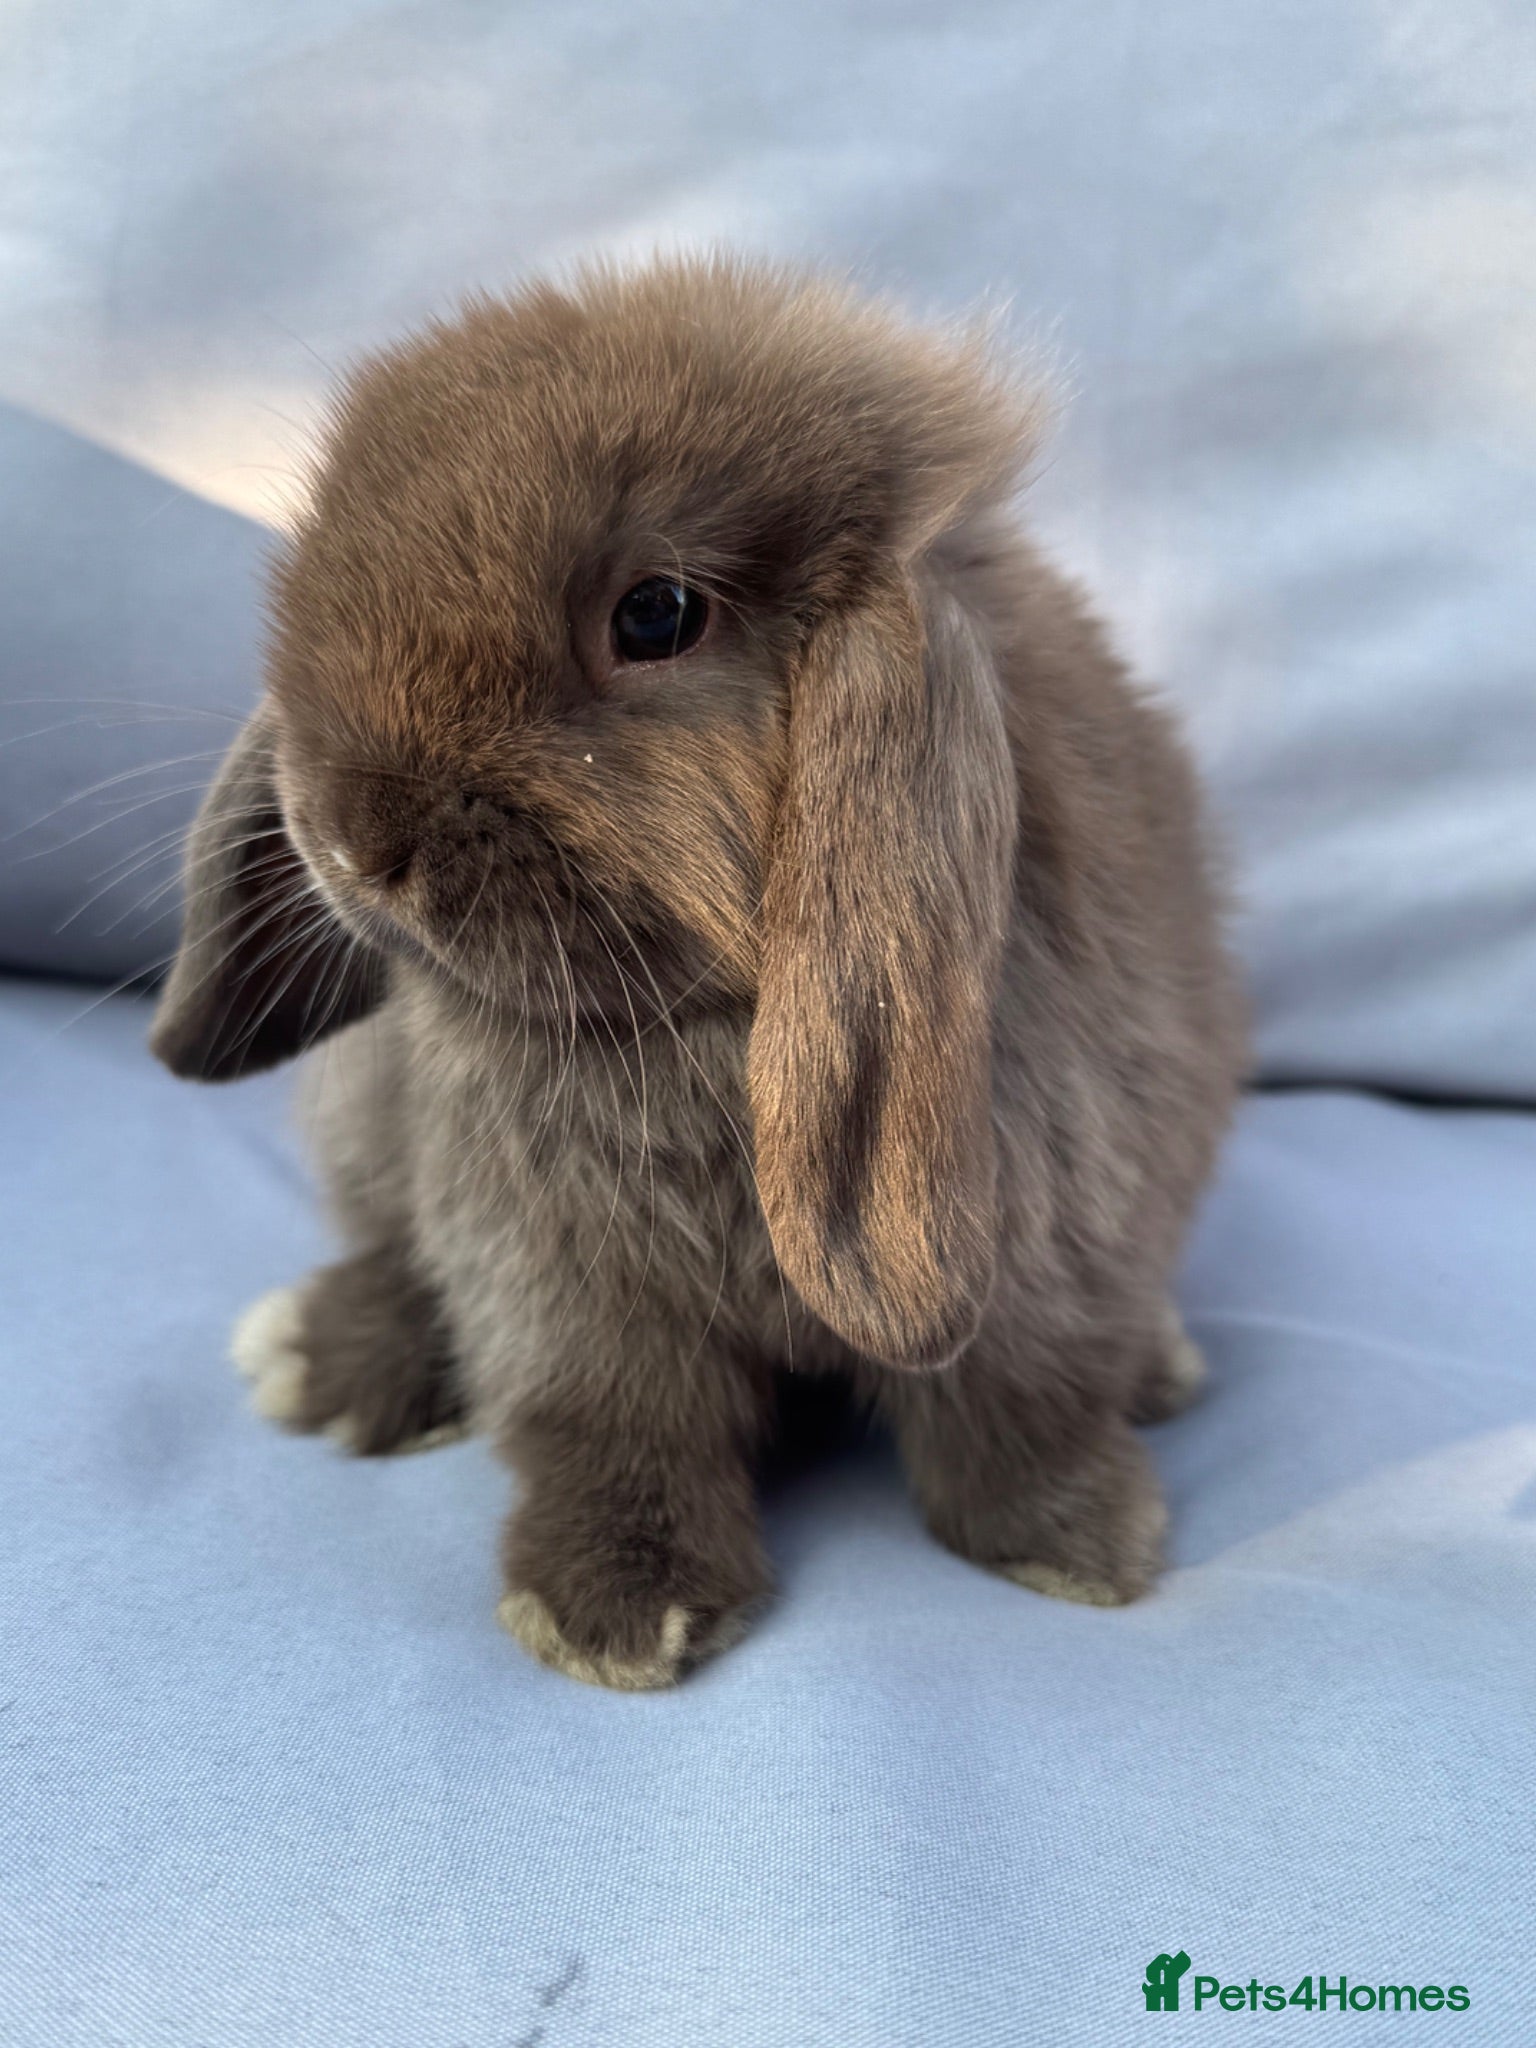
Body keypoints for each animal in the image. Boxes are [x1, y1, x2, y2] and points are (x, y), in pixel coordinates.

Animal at [150, 256, 1245, 1690]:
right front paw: (616, 1613)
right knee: (391, 1253)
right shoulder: (561, 1274)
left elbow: (1021, 1407)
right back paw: (320, 1356)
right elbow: (610, 1422)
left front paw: (1080, 1547)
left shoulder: (1061, 1238)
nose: (347, 839)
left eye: (655, 614)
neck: (710, 1024)